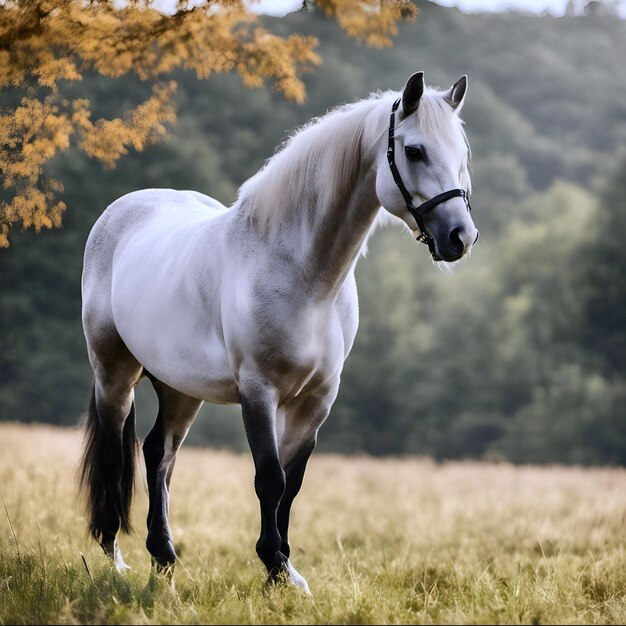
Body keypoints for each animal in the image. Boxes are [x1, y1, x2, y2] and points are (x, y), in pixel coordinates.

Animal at [79, 72, 478, 588]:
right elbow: (269, 478)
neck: (302, 275)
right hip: (114, 372)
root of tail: (123, 210)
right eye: (413, 151)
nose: (460, 237)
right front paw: (273, 564)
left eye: (461, 152)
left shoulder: (316, 400)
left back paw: (164, 557)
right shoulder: (258, 390)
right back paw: (114, 557)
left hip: (180, 387)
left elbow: (292, 483)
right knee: (115, 451)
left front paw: (286, 572)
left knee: (158, 454)